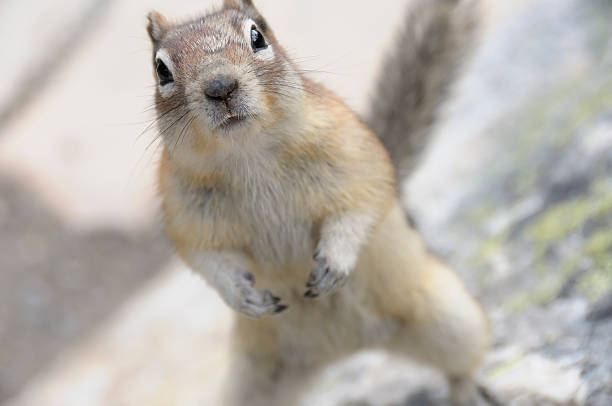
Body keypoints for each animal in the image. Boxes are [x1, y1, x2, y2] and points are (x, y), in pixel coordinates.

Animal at [147, 1, 492, 404]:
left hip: (450, 318)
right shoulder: (184, 213)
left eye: (257, 37)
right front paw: (241, 294)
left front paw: (334, 261)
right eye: (161, 69)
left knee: (464, 359)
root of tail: (345, 348)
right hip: (254, 377)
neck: (248, 154)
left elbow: (358, 209)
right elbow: (205, 258)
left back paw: (467, 390)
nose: (220, 87)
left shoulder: (356, 159)